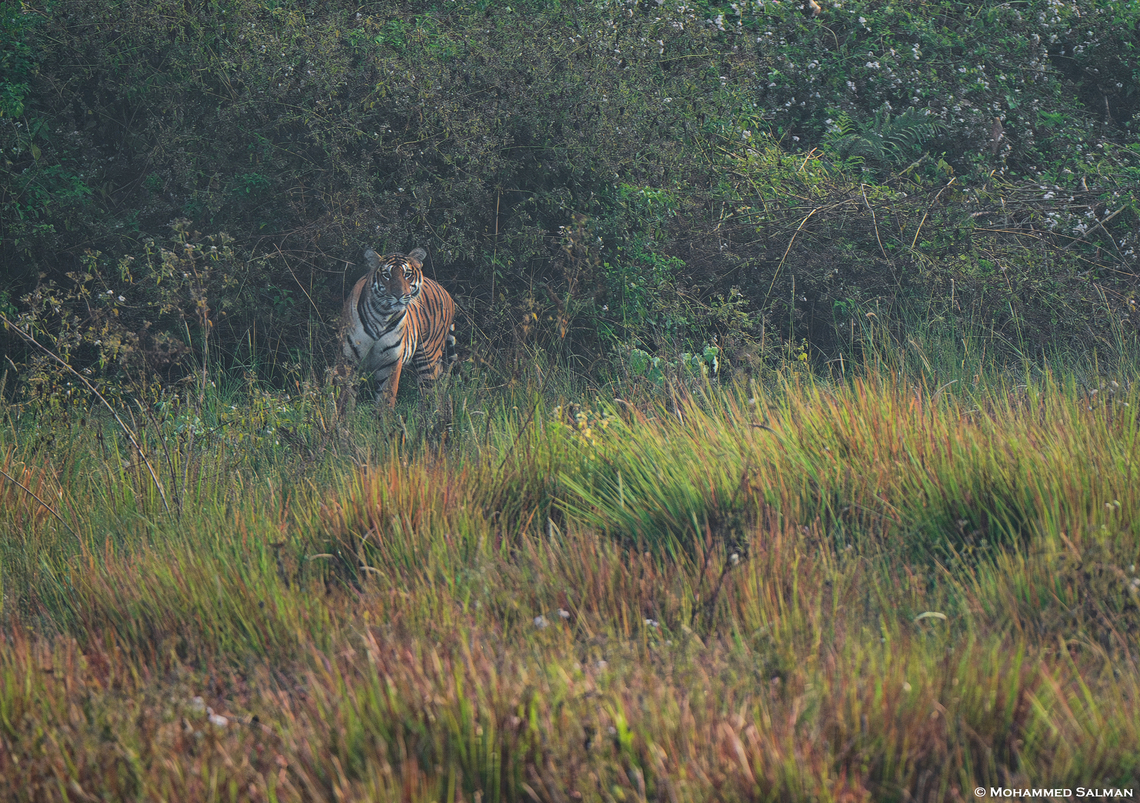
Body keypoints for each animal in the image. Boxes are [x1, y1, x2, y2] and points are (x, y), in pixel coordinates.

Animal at [342, 246, 456, 408]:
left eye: (407, 274)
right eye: (386, 275)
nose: (399, 295)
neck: (381, 316)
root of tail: (447, 294)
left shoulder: (391, 363)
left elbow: (385, 400)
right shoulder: (350, 360)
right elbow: (345, 398)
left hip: (428, 358)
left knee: (431, 394)